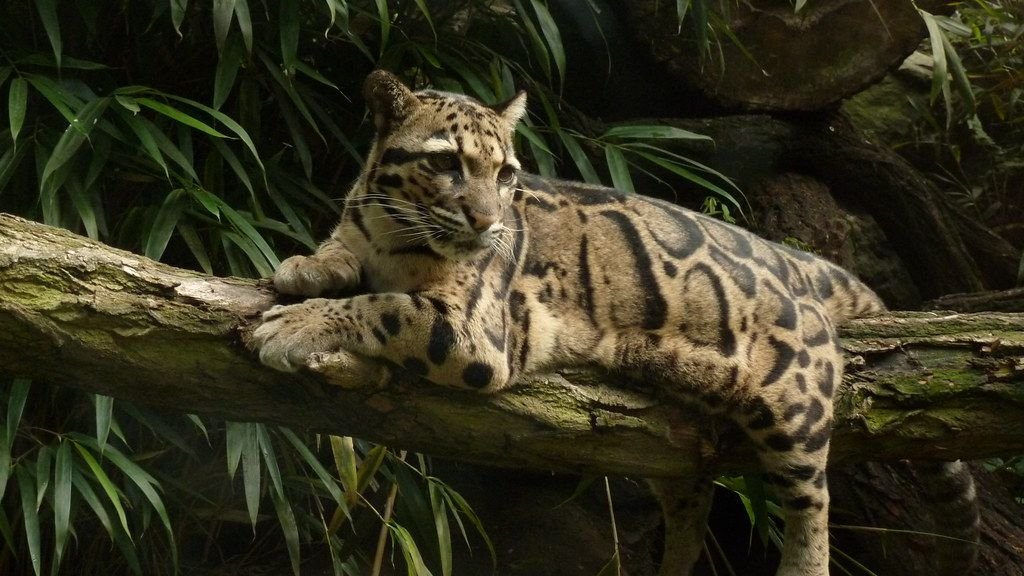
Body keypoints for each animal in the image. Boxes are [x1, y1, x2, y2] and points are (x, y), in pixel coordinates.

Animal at [252, 69, 890, 576]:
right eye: (444, 162)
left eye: (506, 174)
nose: (487, 220)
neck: (391, 230)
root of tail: (794, 261)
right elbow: (339, 252)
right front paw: (305, 265)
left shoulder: (475, 331)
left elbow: (383, 305)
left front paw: (295, 324)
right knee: (690, 500)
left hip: (794, 401)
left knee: (811, 501)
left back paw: (803, 562)